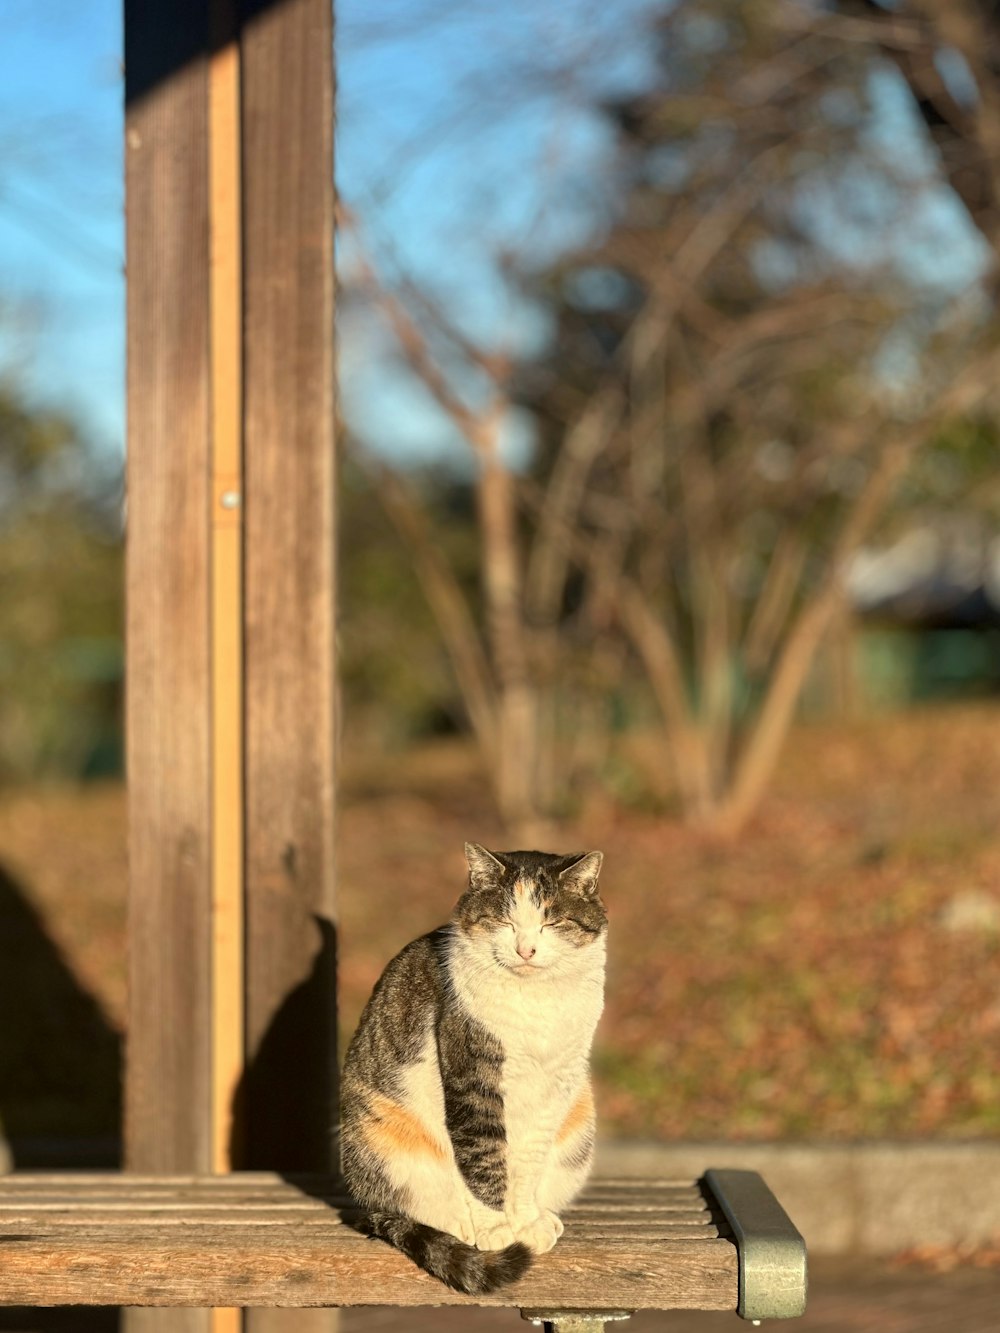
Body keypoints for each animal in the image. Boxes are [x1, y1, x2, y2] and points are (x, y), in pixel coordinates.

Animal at [341, 842, 608, 1290]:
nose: (525, 950)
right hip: (383, 1134)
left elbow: (527, 1162)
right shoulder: (472, 1082)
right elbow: (481, 1159)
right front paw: (495, 1229)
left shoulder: (557, 1084)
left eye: (551, 922)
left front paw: (525, 1221)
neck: (534, 1000)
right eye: (504, 921)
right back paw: (457, 1225)